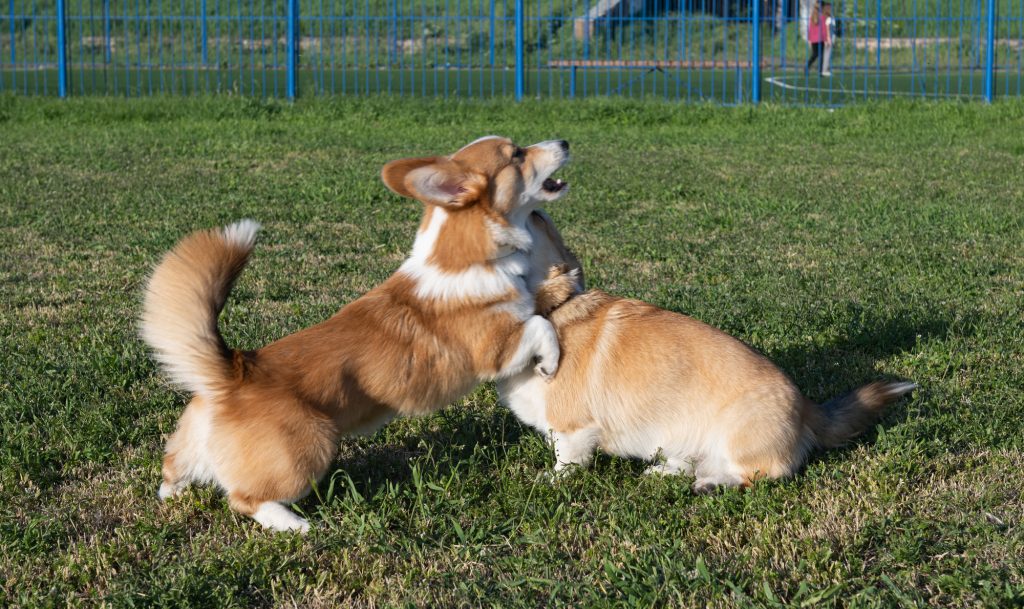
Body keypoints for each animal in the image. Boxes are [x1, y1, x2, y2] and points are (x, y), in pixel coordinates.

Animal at [140, 136, 577, 532]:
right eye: (516, 154)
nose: (564, 142)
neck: (471, 256)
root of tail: (234, 370)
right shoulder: (495, 348)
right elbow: (540, 325)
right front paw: (551, 363)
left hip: (192, 446)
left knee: (172, 469)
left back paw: (173, 494)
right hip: (309, 450)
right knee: (246, 499)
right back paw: (296, 525)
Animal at [499, 266, 917, 491]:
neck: (549, 311)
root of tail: (808, 409)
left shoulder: (572, 429)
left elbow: (566, 460)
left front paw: (550, 480)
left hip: (736, 437)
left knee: (753, 476)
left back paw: (711, 487)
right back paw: (666, 473)